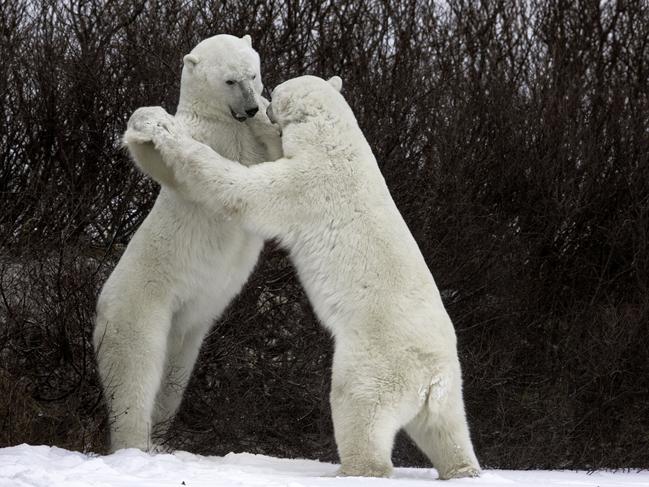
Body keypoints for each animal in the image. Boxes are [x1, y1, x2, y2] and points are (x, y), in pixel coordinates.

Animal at [92, 34, 280, 454]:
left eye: (253, 74)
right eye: (229, 81)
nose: (250, 108)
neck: (225, 123)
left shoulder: (248, 141)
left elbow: (278, 159)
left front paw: (271, 114)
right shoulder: (204, 137)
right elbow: (165, 160)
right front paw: (150, 122)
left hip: (188, 328)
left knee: (174, 379)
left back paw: (162, 439)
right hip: (140, 308)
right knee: (135, 372)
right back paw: (135, 443)